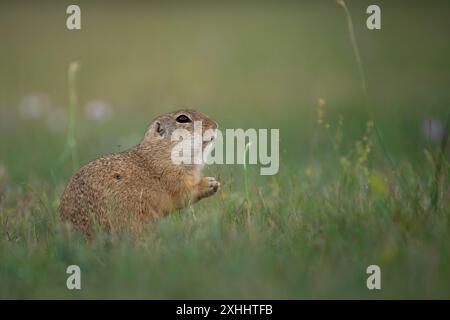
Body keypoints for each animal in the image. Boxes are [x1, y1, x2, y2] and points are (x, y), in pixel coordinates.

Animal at [59, 109, 221, 236]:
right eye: (182, 119)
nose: (215, 125)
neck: (162, 152)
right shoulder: (171, 176)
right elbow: (184, 193)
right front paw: (210, 183)